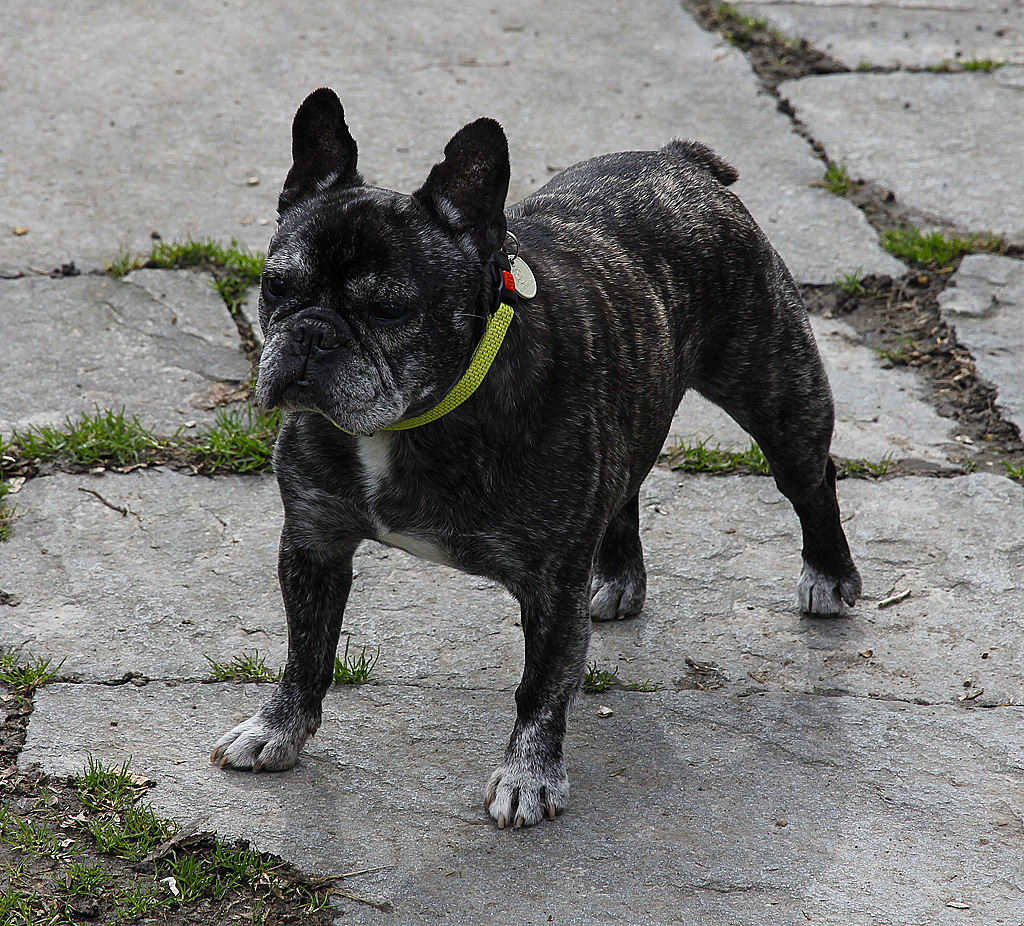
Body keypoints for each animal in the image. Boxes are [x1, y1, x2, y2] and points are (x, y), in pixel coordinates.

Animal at [211, 85, 860, 823]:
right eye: (275, 286)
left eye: (387, 311)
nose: (311, 335)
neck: (416, 419)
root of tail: (682, 161)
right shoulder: (314, 543)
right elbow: (306, 648)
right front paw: (277, 727)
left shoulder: (550, 586)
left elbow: (542, 684)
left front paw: (529, 776)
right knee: (627, 484)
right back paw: (619, 577)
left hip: (778, 394)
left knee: (812, 481)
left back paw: (828, 575)